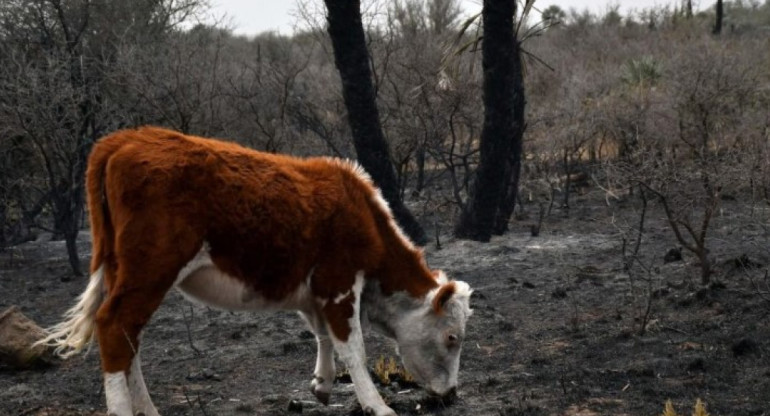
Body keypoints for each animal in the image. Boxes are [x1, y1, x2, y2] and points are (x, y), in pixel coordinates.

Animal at [36, 127, 472, 416]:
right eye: (452, 337)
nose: (451, 393)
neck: (363, 214)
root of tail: (123, 139)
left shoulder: (314, 291)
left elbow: (321, 335)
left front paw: (322, 384)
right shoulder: (338, 282)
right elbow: (353, 347)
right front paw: (376, 405)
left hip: (123, 272)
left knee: (130, 338)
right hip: (150, 270)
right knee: (114, 327)